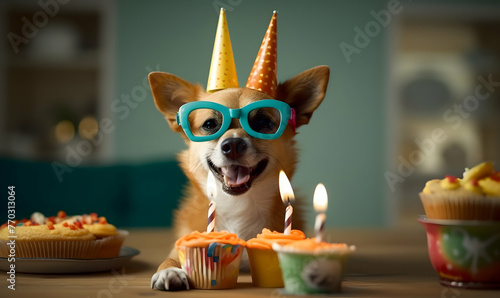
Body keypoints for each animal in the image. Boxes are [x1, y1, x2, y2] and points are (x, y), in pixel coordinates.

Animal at [148, 66, 328, 292]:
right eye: (210, 125)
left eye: (263, 123)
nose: (232, 145)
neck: (239, 206)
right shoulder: (180, 244)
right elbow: (171, 258)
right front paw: (169, 270)